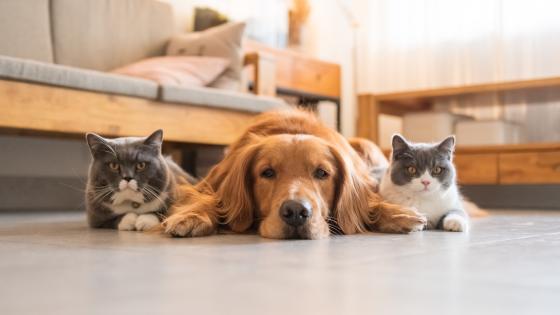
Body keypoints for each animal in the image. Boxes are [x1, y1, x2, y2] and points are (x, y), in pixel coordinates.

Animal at [164, 109, 426, 239]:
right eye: (267, 172)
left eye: (322, 173)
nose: (296, 212)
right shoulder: (212, 182)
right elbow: (207, 199)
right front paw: (191, 216)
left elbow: (371, 203)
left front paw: (399, 214)